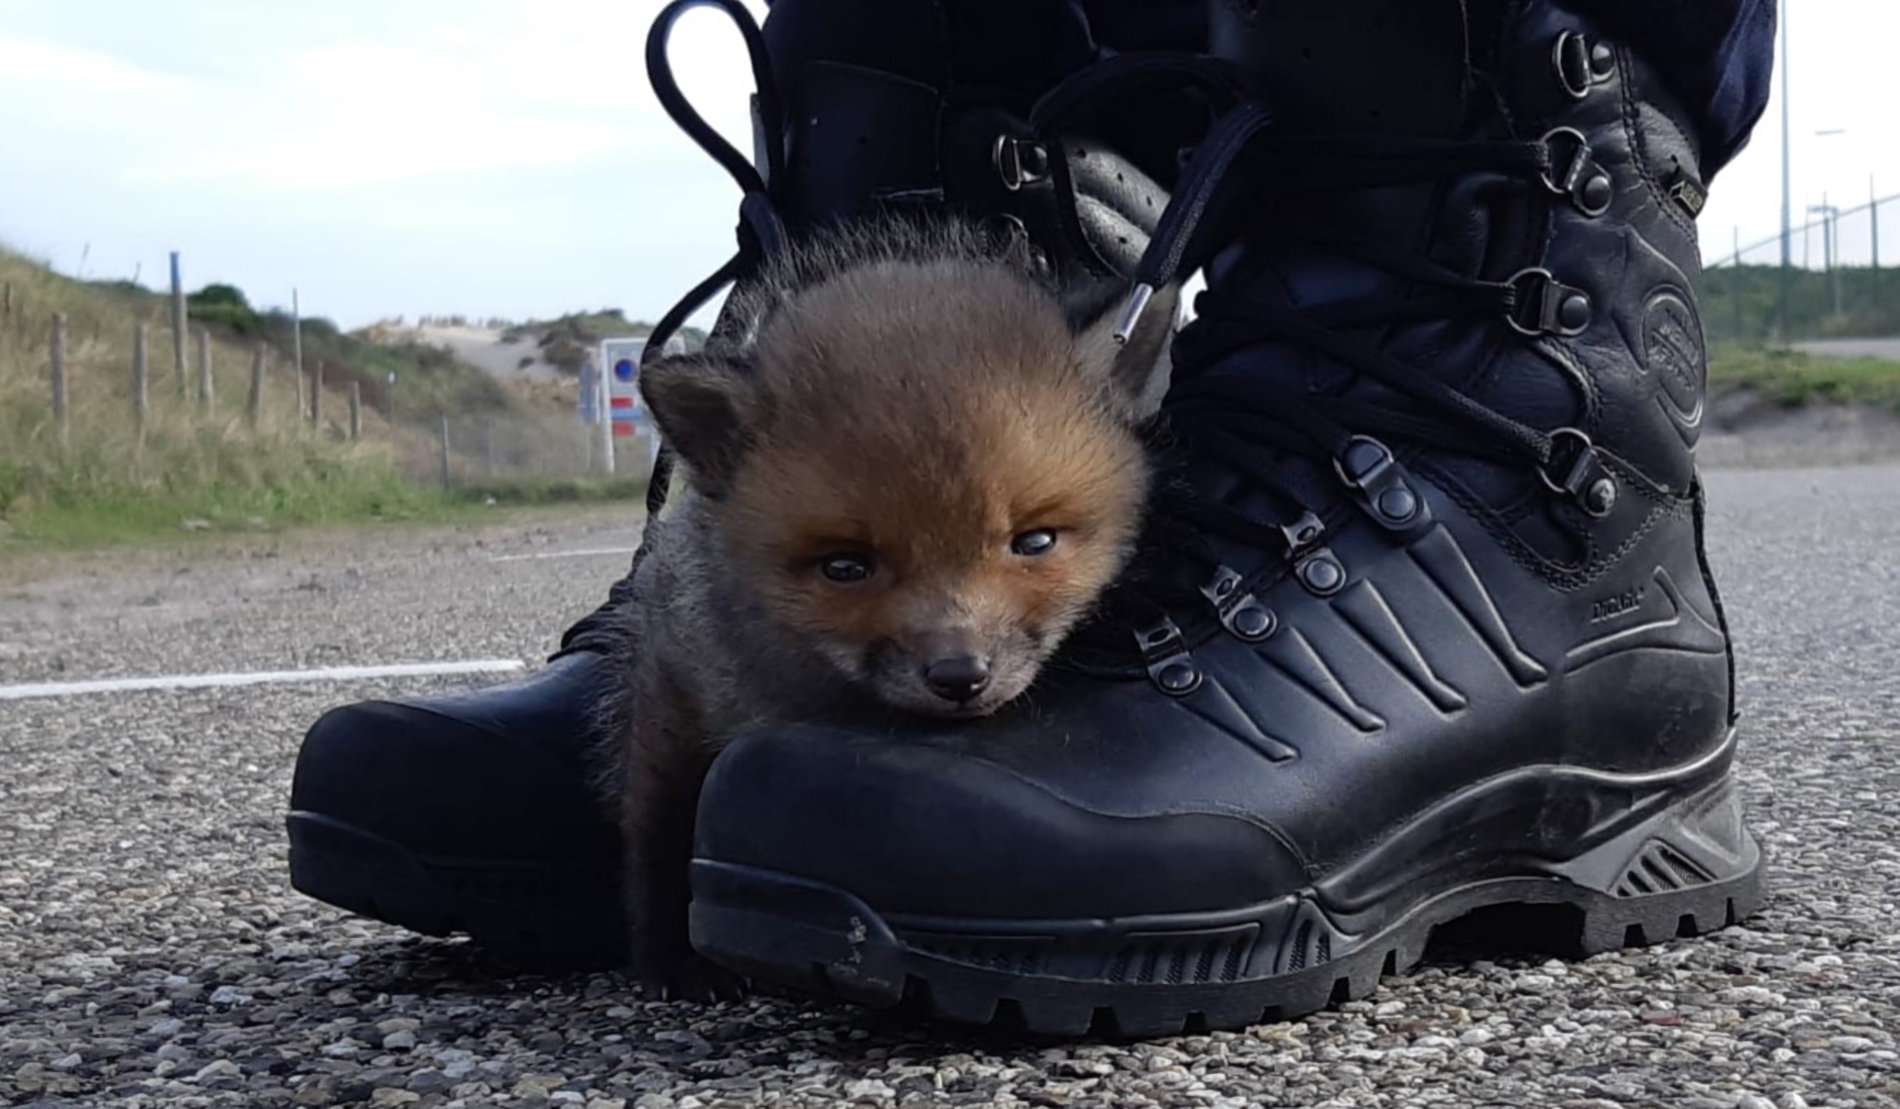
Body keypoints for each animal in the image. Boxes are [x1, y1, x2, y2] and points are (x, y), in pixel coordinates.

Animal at [594, 214, 1181, 1000]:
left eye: (1034, 541)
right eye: (846, 567)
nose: (961, 676)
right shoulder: (675, 698)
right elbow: (658, 833)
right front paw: (674, 960)